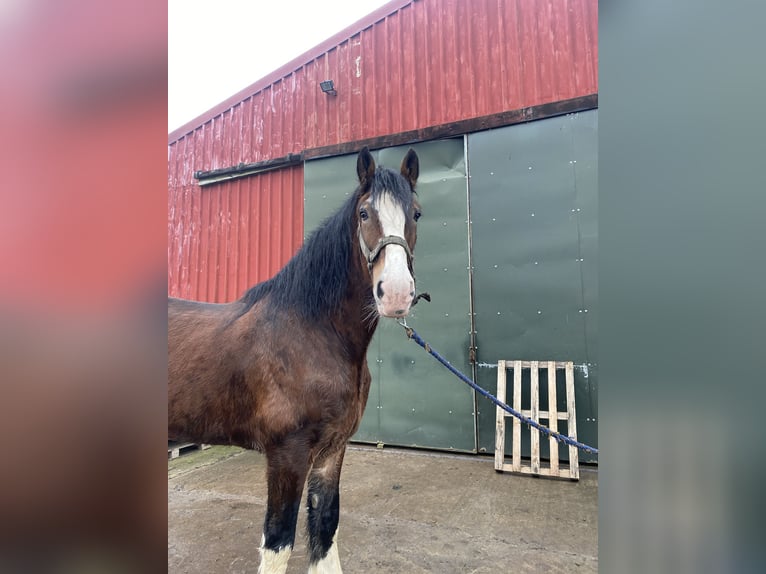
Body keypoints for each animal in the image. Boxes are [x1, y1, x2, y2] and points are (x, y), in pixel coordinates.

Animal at [167, 148, 424, 574]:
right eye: (364, 213)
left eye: (416, 213)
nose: (396, 293)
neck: (312, 332)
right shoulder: (287, 455)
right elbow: (279, 541)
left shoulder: (332, 451)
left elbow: (325, 529)